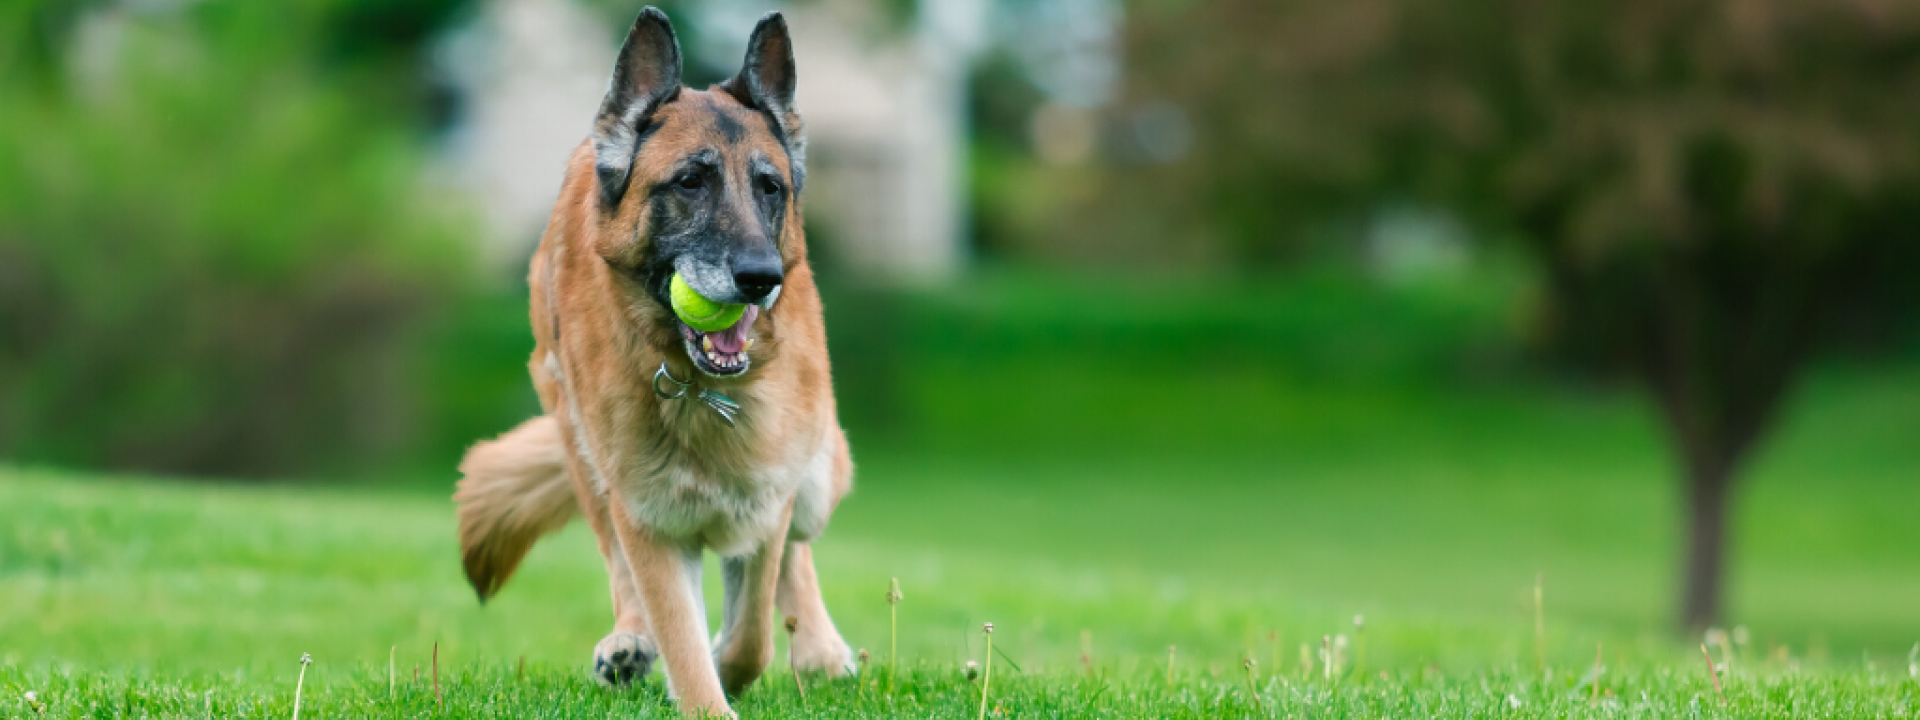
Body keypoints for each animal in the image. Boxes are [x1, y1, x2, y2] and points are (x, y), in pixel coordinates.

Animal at [453, 8, 852, 718]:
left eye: (770, 188)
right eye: (690, 182)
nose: (761, 279)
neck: (696, 388)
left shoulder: (767, 502)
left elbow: (751, 632)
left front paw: (735, 658)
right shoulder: (649, 520)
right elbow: (683, 639)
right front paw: (695, 678)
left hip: (820, 473)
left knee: (796, 559)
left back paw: (821, 650)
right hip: (587, 460)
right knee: (618, 560)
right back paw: (631, 639)